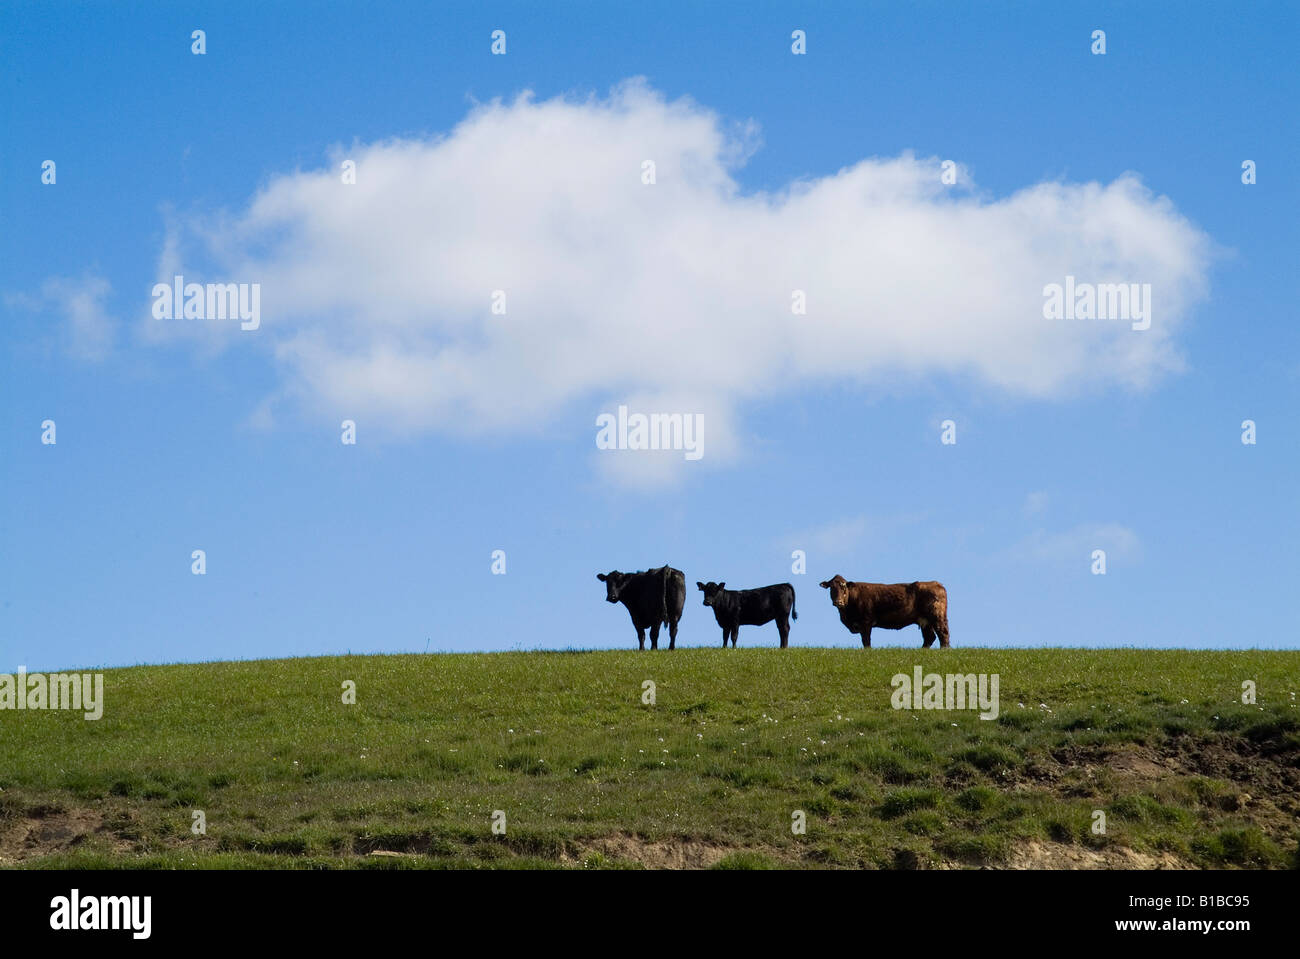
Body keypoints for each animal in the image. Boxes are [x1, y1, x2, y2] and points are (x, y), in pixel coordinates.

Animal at [818, 575, 949, 648]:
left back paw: (944, 649)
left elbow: (866, 640)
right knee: (930, 637)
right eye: (831, 588)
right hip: (925, 621)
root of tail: (937, 584)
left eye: (843, 587)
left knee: (943, 633)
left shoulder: (866, 622)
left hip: (937, 616)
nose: (838, 602)